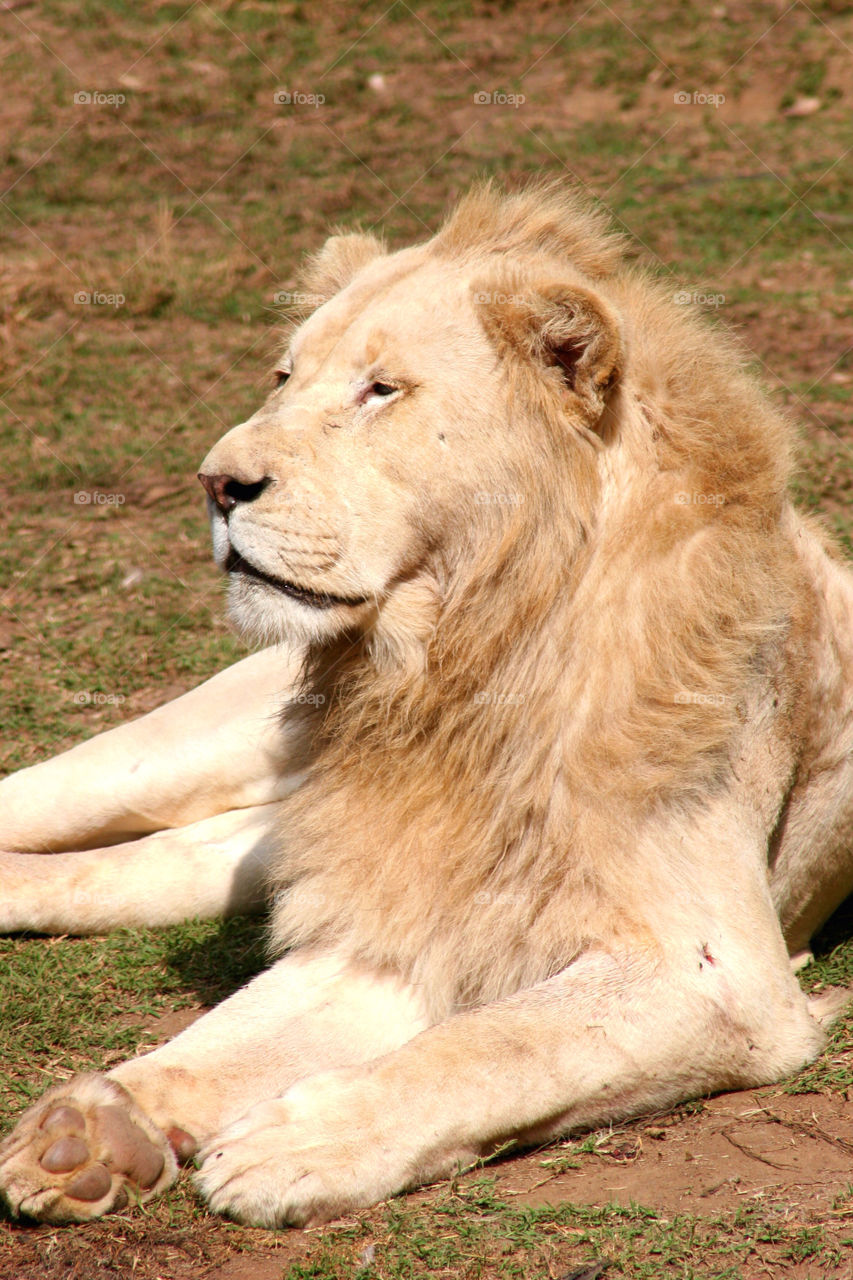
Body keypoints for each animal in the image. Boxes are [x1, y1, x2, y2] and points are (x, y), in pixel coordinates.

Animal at [1, 183, 850, 1228]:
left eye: (381, 391)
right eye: (283, 376)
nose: (216, 483)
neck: (455, 672)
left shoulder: (722, 976)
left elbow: (491, 1048)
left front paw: (294, 1142)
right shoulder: (404, 908)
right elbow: (241, 1033)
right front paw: (96, 1128)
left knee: (141, 866)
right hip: (185, 751)